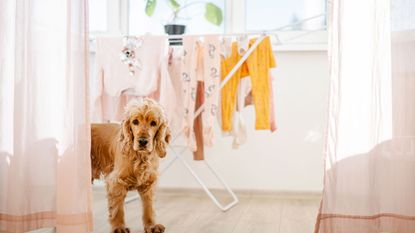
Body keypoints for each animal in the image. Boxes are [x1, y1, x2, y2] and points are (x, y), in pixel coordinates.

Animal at [91, 98, 171, 233]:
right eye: (135, 122)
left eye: (153, 123)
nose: (143, 141)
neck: (140, 157)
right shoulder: (116, 181)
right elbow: (117, 208)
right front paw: (119, 227)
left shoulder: (149, 181)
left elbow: (149, 206)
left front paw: (151, 225)